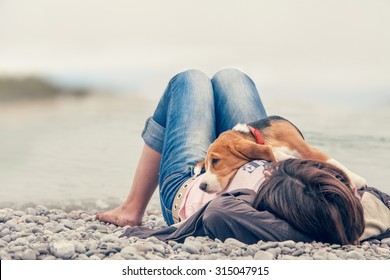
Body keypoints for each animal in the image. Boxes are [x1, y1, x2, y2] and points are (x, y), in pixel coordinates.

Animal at [197, 115, 368, 192]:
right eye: (206, 165)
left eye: (215, 161)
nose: (201, 186)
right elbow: (276, 153)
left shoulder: (306, 149)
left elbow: (335, 162)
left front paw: (357, 180)